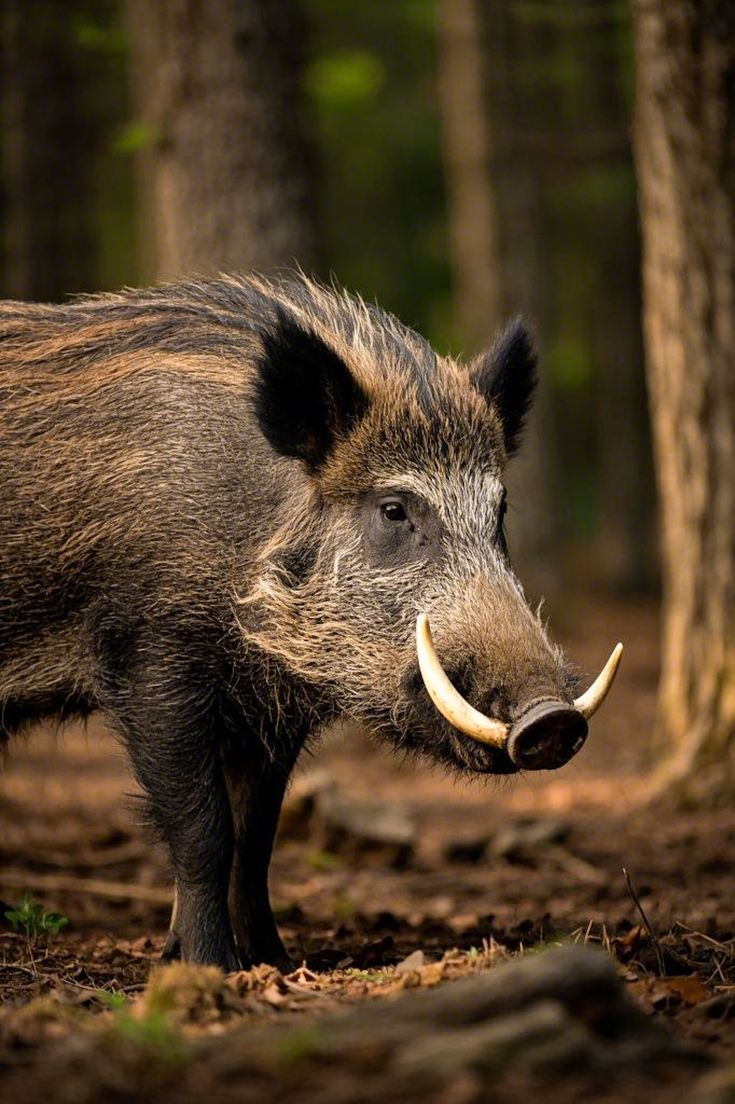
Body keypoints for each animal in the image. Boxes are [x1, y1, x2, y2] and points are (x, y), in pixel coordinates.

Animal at [0, 274, 621, 971]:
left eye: (500, 509)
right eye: (393, 509)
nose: (552, 719)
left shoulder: (267, 711)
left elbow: (257, 835)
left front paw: (272, 961)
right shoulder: (150, 659)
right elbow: (204, 829)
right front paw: (211, 967)